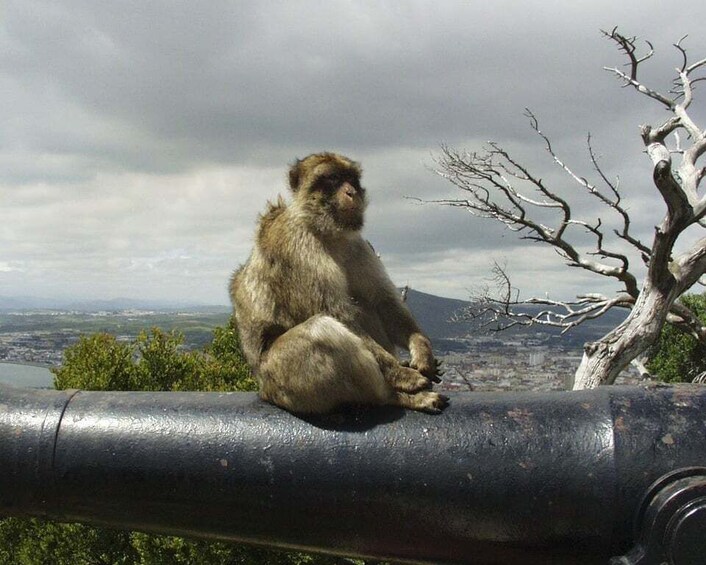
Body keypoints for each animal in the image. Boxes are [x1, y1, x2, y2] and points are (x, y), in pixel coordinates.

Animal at [231, 153, 448, 414]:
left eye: (351, 178)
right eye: (333, 179)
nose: (352, 192)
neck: (326, 231)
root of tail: (263, 391)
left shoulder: (358, 245)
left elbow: (383, 301)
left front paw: (422, 352)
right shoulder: (296, 245)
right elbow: (336, 312)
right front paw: (403, 374)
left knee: (364, 304)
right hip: (284, 381)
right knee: (320, 331)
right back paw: (395, 396)